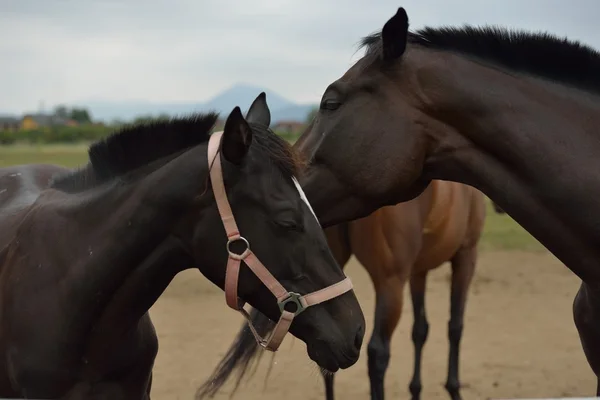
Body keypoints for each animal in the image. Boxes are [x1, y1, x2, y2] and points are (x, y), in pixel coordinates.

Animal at [197, 179, 488, 400]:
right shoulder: (466, 257)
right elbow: (455, 327)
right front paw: (453, 388)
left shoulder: (420, 271)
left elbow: (420, 330)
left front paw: (415, 390)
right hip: (391, 282)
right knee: (377, 352)